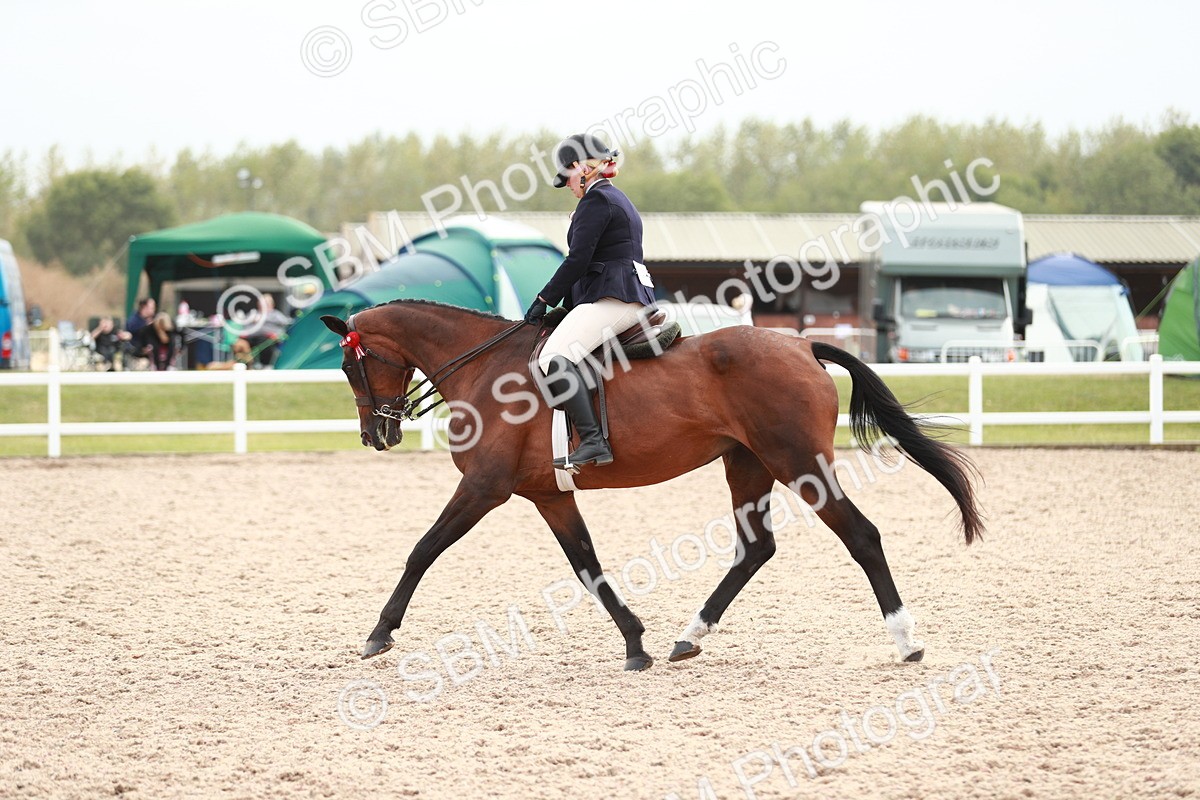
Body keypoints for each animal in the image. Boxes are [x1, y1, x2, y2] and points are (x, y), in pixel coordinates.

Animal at [321, 300, 982, 671]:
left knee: (862, 536)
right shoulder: (549, 494)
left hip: (798, 462)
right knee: (755, 549)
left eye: (352, 364)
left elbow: (422, 551)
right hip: (747, 465)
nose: (376, 435)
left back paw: (906, 641)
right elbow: (586, 566)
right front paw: (635, 643)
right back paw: (688, 638)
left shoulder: (485, 487)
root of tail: (799, 344)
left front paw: (379, 634)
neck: (483, 367)